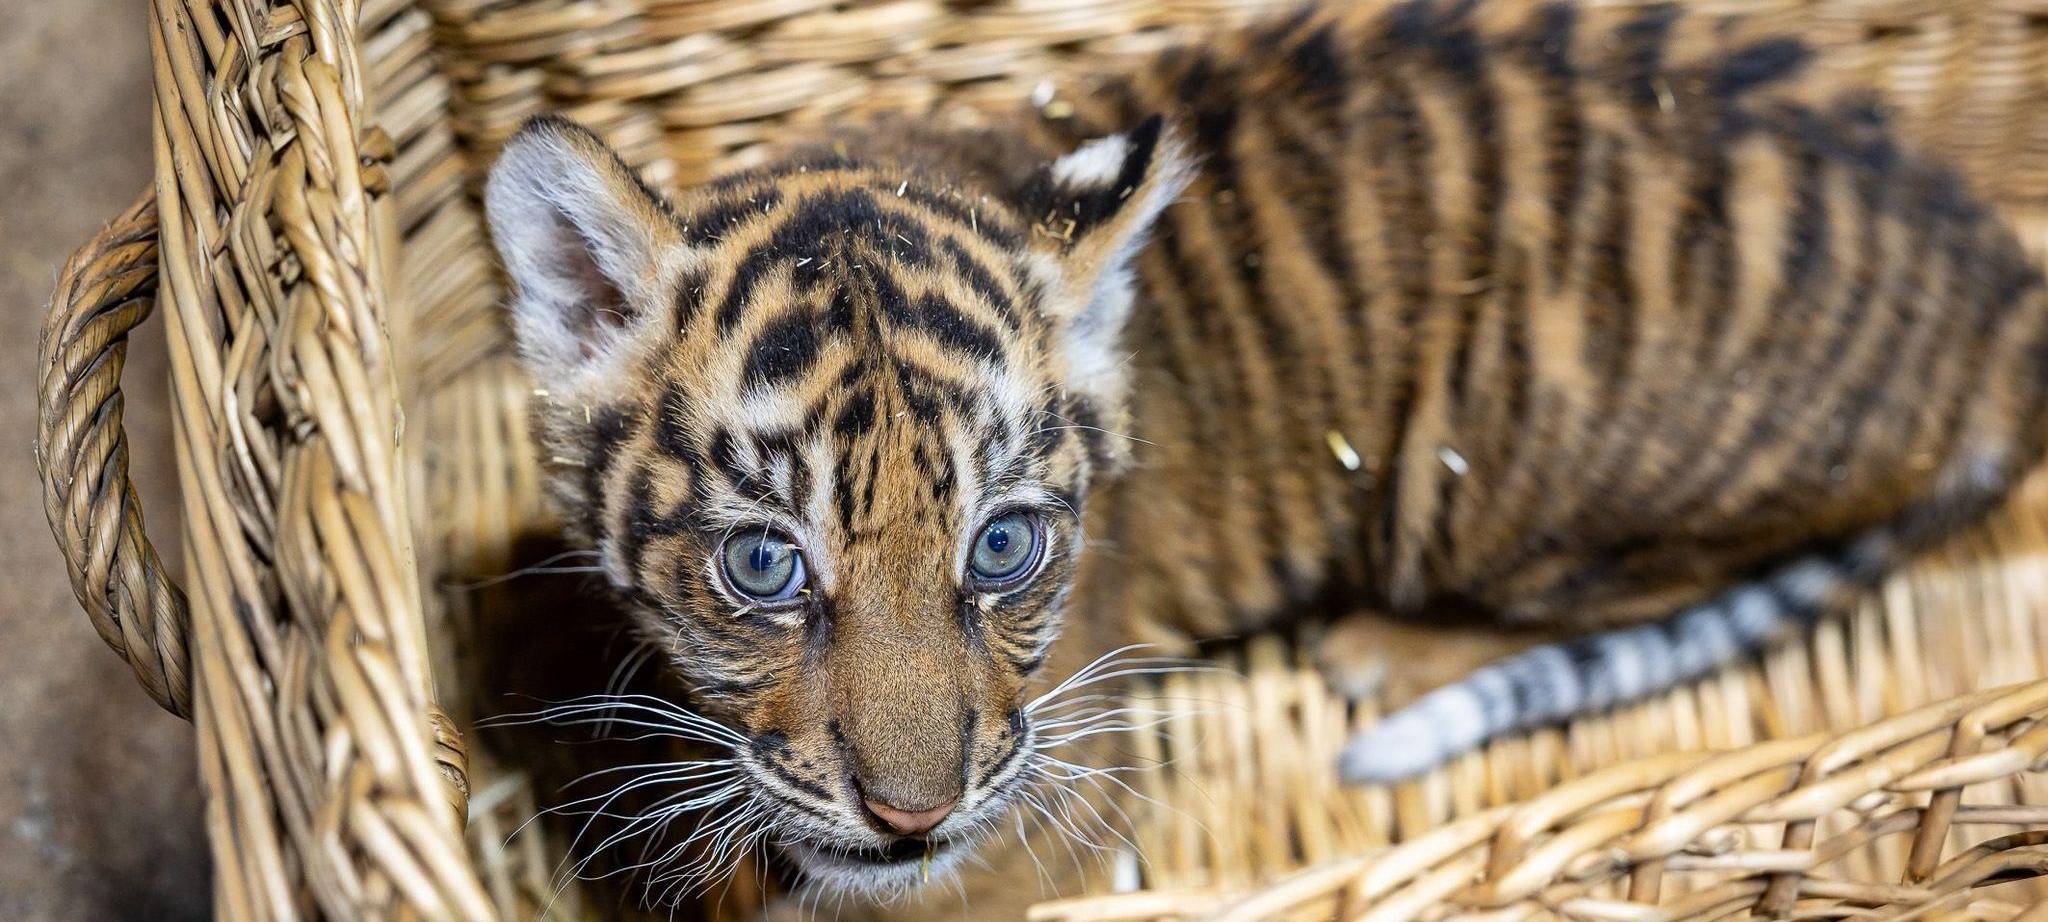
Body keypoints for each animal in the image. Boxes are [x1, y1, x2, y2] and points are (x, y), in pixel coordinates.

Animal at [481, 0, 2048, 913]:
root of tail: (1998, 291)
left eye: (1004, 544)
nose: (914, 815)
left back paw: (1386, 650)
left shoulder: (1045, 812)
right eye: (764, 563)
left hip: (1496, 462)